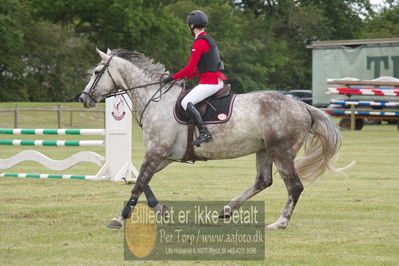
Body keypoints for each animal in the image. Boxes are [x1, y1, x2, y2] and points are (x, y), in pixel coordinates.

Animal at [80, 48, 344, 230]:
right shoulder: (164, 154)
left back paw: (280, 222)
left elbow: (138, 184)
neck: (156, 99)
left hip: (282, 152)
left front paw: (119, 218)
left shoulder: (156, 152)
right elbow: (143, 182)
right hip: (264, 150)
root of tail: (302, 106)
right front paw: (160, 209)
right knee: (263, 181)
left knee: (294, 186)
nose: (83, 98)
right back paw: (226, 210)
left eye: (97, 72)